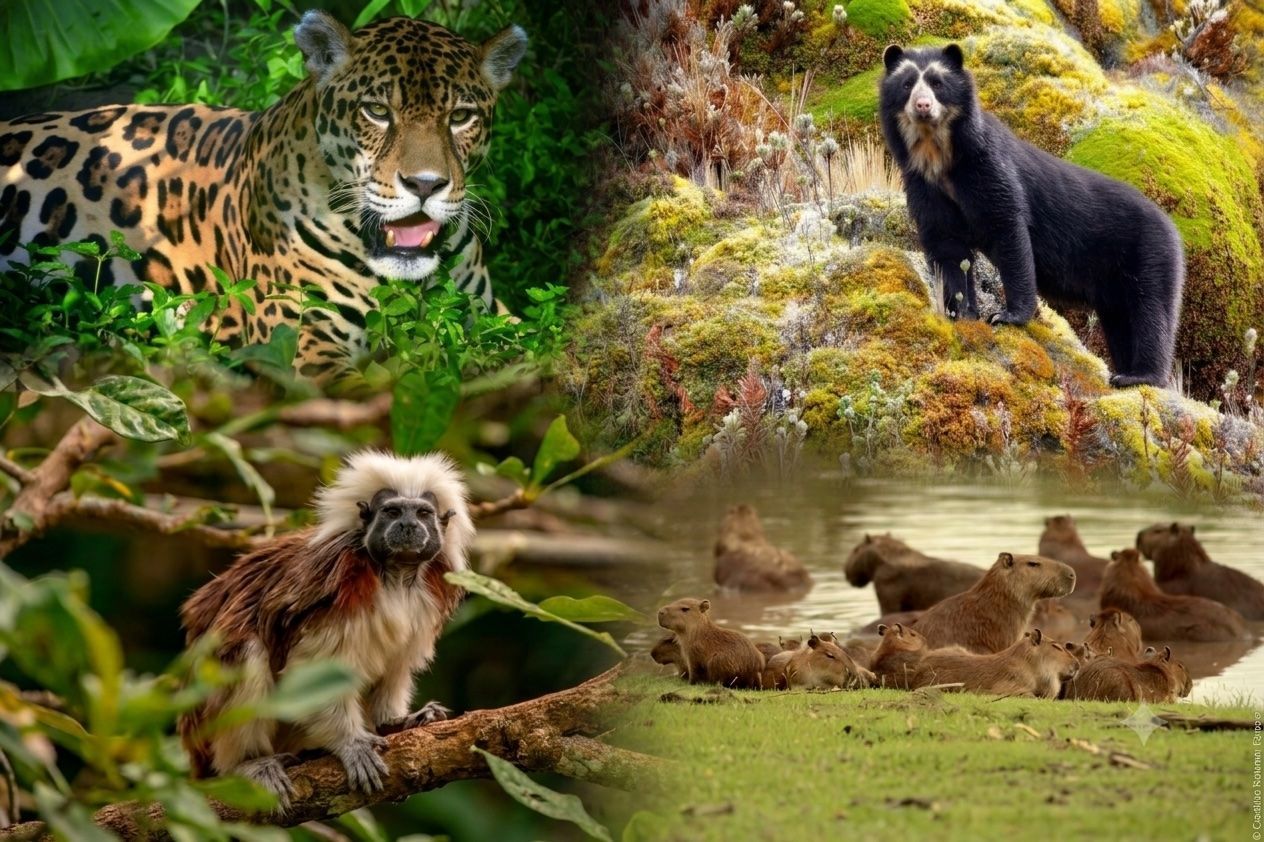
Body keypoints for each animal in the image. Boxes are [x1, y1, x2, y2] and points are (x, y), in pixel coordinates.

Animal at [878, 43, 1185, 387]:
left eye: (937, 82)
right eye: (907, 84)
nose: (922, 105)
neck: (938, 155)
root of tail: (1173, 227)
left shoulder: (988, 168)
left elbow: (1008, 229)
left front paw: (1006, 316)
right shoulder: (923, 185)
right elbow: (947, 247)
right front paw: (961, 313)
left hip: (1149, 256)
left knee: (1150, 312)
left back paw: (1139, 376)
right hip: (1117, 285)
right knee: (1122, 323)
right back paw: (1124, 371)